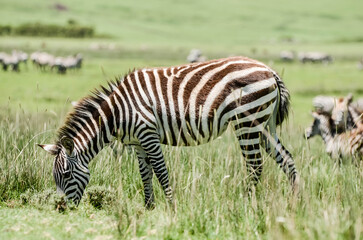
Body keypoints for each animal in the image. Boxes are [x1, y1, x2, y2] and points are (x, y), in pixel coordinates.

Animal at [39, 56, 302, 208]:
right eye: (55, 177)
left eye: (67, 174)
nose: (61, 209)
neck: (117, 113)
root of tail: (270, 70)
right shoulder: (137, 143)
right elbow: (145, 174)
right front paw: (149, 207)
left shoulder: (148, 134)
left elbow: (161, 172)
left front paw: (172, 207)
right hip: (264, 125)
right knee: (286, 160)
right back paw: (296, 203)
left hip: (247, 121)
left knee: (255, 166)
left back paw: (246, 205)